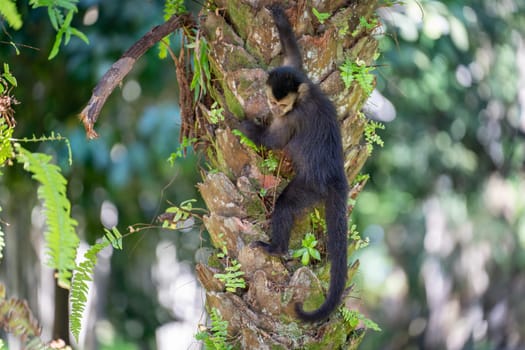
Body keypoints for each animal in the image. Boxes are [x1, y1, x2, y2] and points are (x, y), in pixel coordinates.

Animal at [241, 4, 348, 322]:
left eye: (280, 105)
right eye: (272, 101)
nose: (274, 110)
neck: (303, 97)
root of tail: (336, 174)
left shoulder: (293, 118)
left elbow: (274, 141)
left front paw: (237, 123)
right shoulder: (298, 77)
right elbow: (293, 58)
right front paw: (279, 18)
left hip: (313, 186)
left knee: (287, 203)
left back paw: (276, 248)